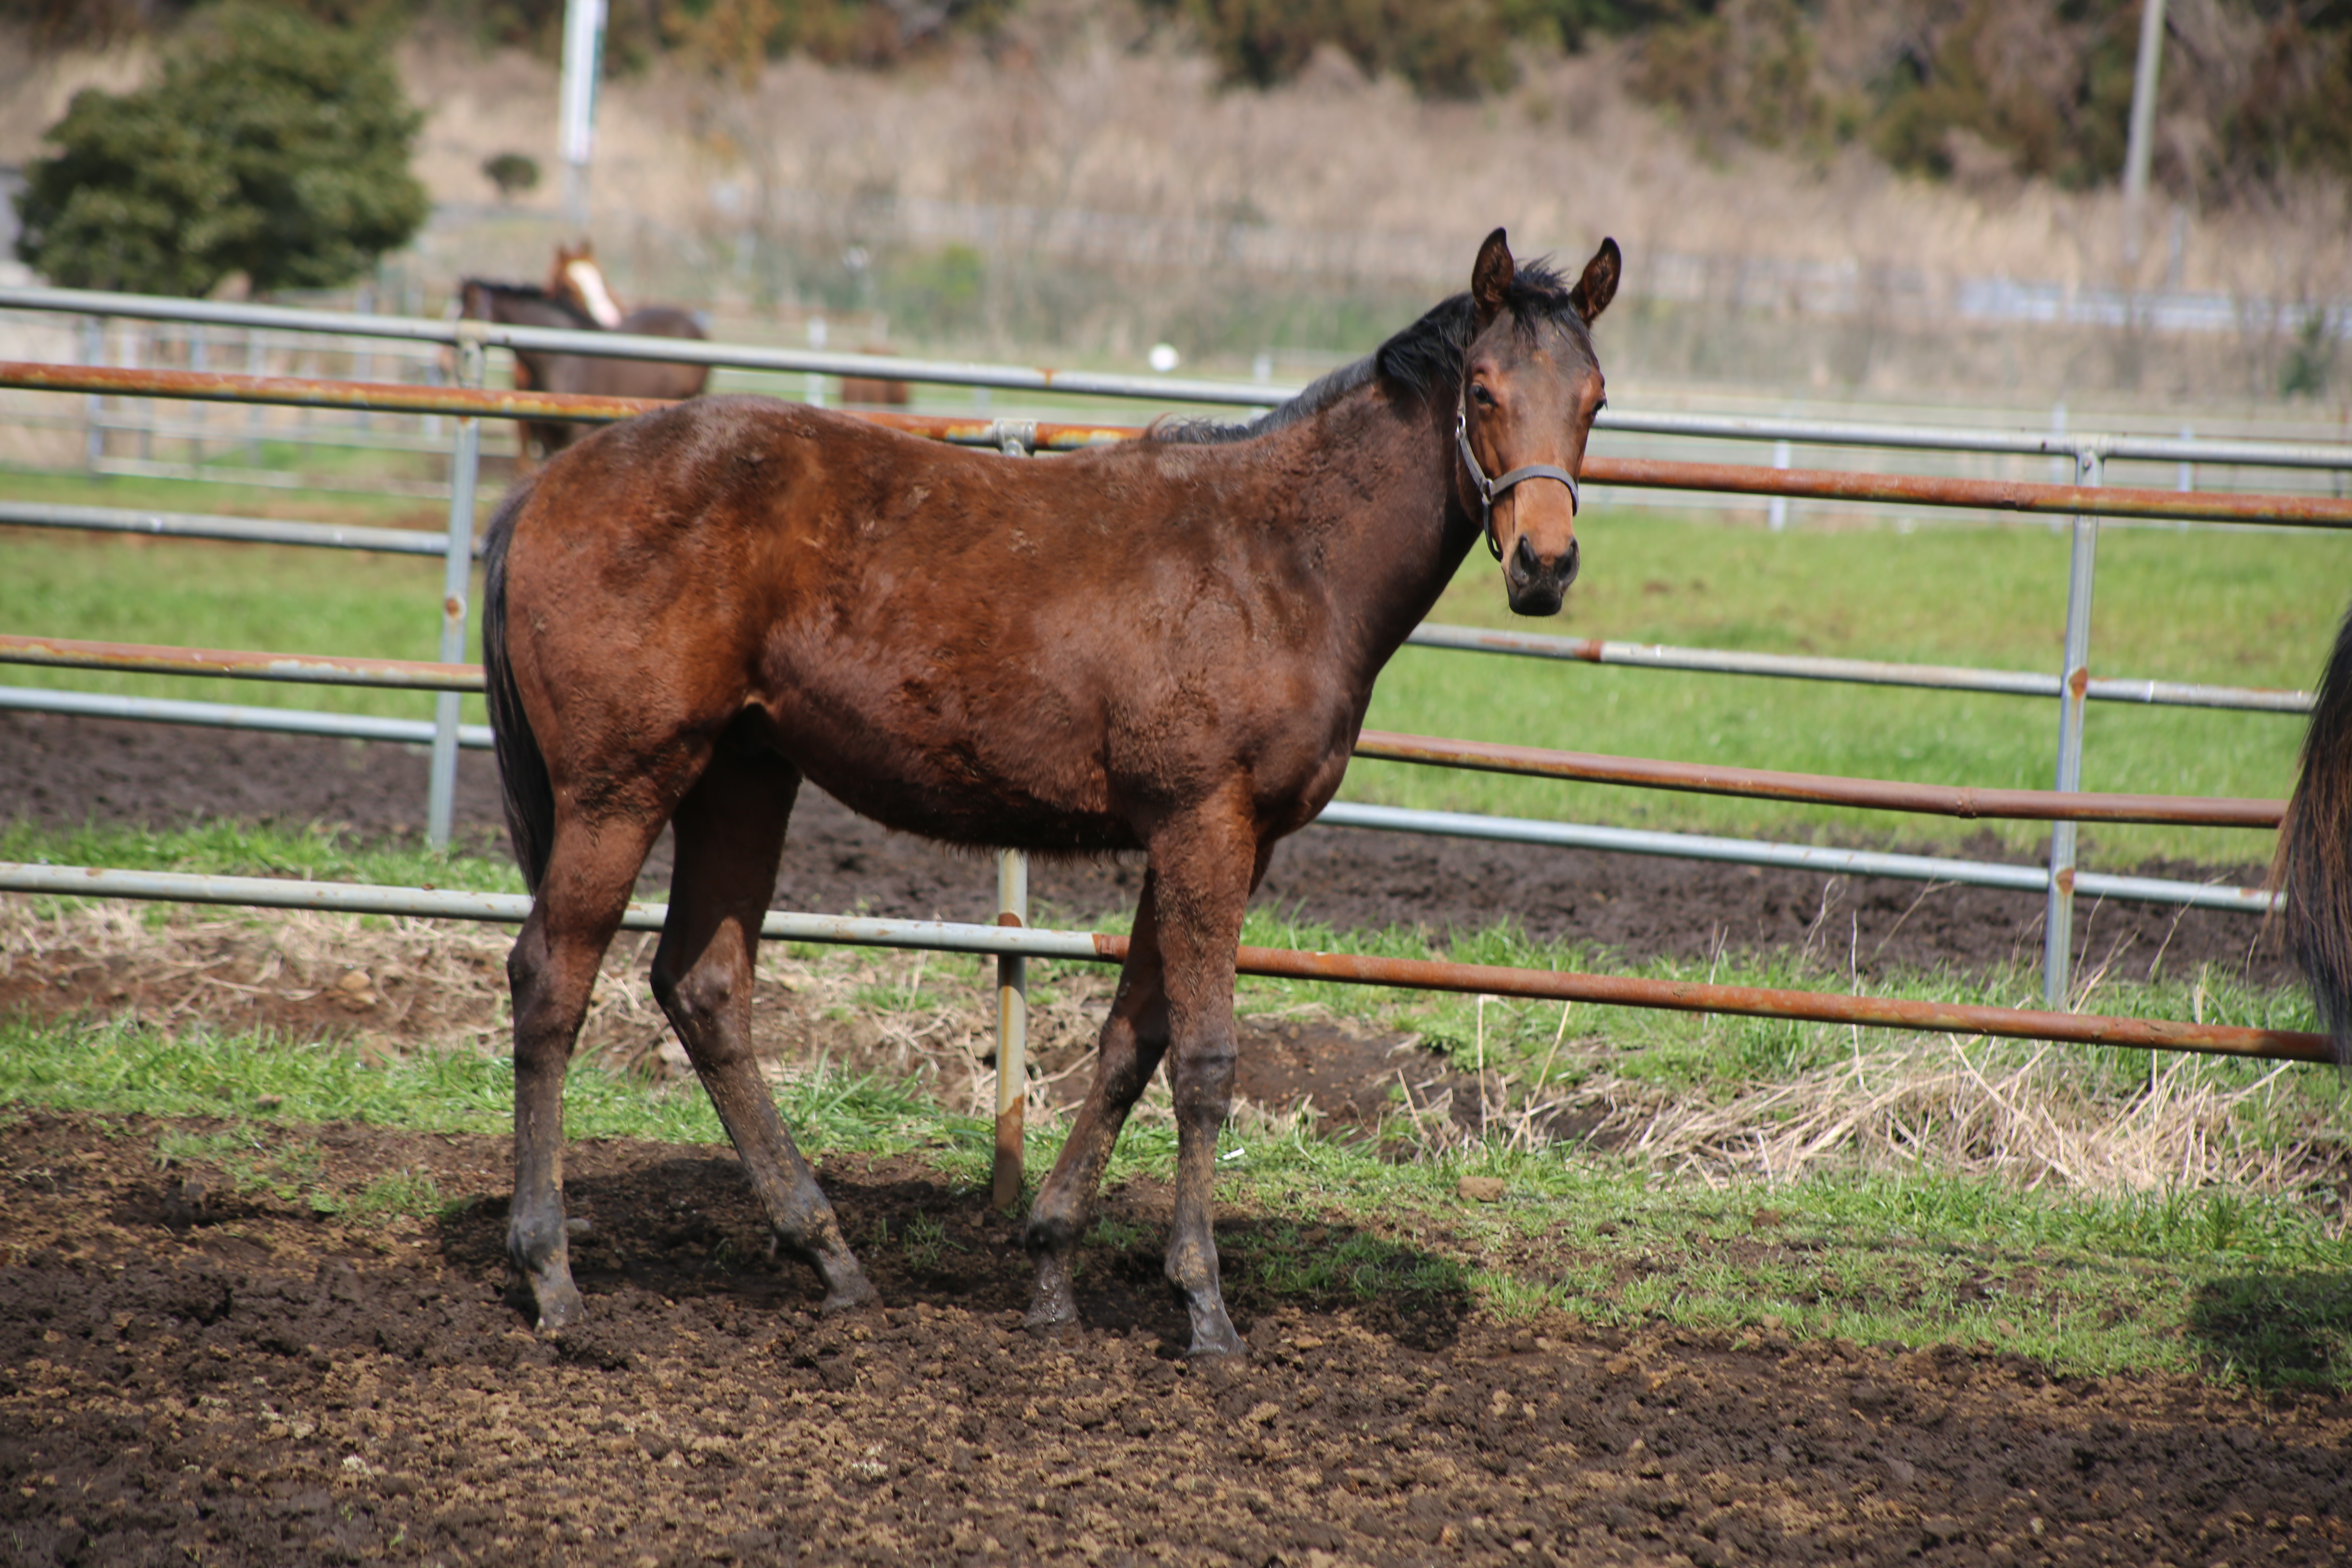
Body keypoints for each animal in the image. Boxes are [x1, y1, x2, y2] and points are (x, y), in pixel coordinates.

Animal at [477, 227, 1618, 1354]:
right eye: (1482, 390)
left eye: (1595, 398)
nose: (1544, 566)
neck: (1280, 561)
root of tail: (549, 484)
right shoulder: (1205, 825)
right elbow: (1205, 1060)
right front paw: (1203, 1305)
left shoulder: (1213, 837)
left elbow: (1128, 1044)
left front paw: (1052, 1270)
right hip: (620, 789)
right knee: (552, 981)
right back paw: (552, 1276)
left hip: (742, 778)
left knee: (704, 988)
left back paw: (829, 1258)